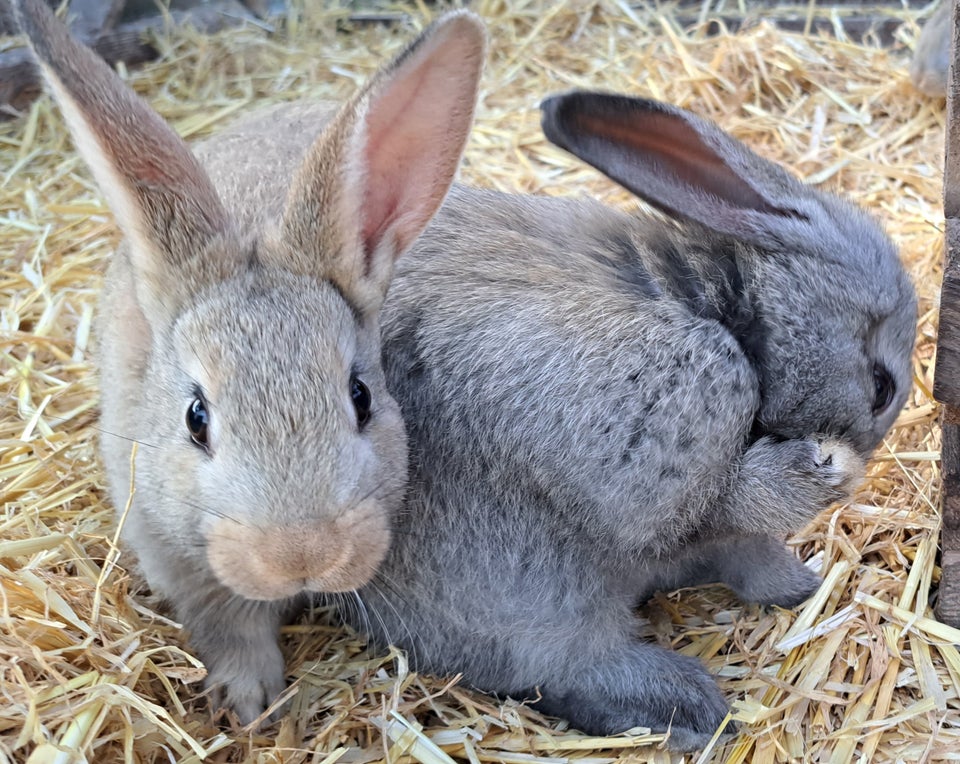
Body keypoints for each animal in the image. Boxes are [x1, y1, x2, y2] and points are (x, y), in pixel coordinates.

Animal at [344, 91, 916, 752]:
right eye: (882, 386)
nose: (855, 456)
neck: (712, 296)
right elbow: (713, 504)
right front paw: (815, 472)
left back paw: (794, 587)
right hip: (548, 604)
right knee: (576, 671)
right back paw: (696, 708)